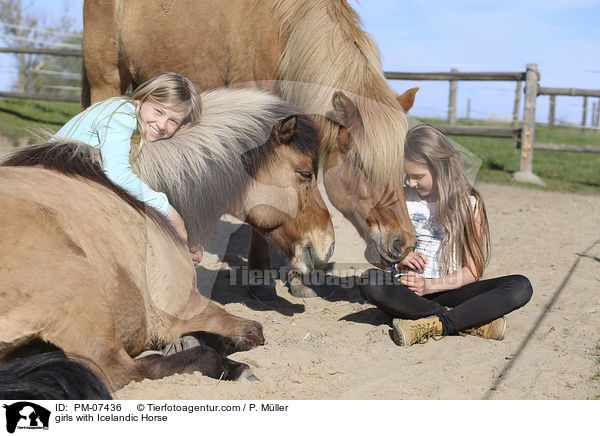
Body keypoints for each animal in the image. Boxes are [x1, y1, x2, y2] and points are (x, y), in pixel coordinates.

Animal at [0, 87, 332, 390]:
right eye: (305, 173)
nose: (327, 246)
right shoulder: (186, 304)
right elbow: (253, 331)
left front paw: (187, 340)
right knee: (121, 370)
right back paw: (229, 366)